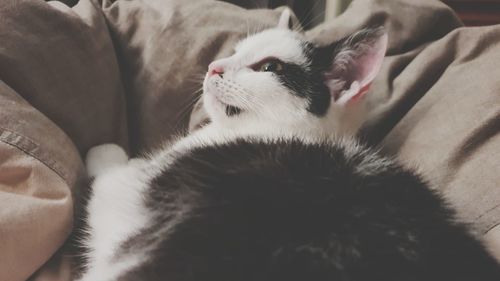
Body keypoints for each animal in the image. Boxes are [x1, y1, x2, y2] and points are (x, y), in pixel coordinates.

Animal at [76, 8, 500, 280]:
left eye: (269, 67)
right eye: (235, 51)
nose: (214, 67)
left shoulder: (131, 198)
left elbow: (110, 173)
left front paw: (102, 151)